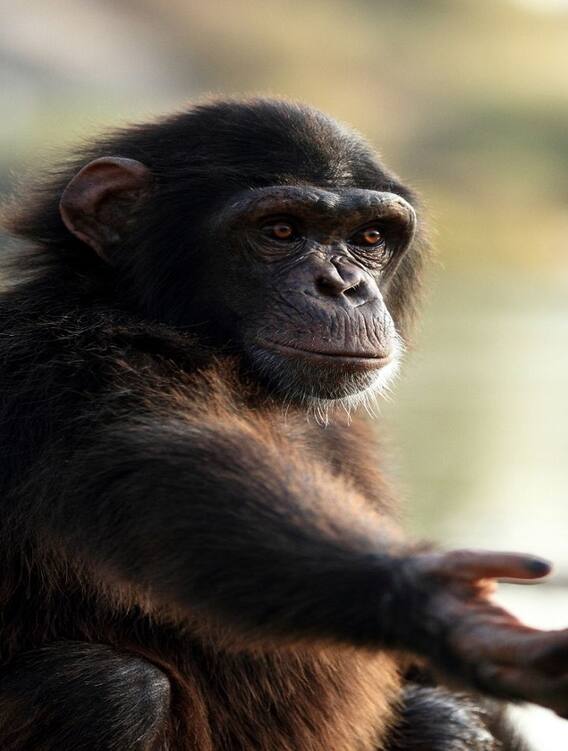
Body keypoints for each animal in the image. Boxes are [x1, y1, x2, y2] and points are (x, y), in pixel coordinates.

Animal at [0, 97, 566, 751]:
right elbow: (154, 468)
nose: (343, 285)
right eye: (280, 231)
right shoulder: (72, 366)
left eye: (370, 237)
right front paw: (431, 600)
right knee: (107, 689)